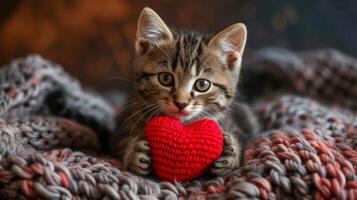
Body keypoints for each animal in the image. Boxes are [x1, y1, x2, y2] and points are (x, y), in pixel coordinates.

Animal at [109, 7, 256, 177]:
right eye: (165, 78)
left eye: (202, 84)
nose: (181, 103)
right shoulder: (121, 126)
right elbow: (121, 142)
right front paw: (133, 151)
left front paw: (231, 153)